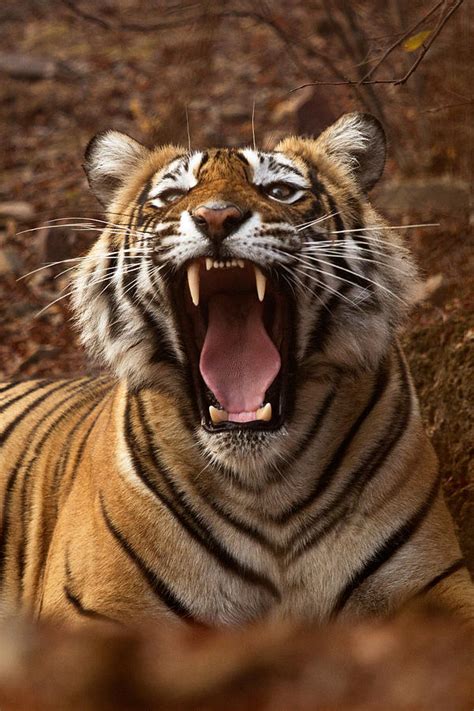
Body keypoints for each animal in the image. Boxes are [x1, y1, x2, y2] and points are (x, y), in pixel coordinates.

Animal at [0, 112, 472, 628]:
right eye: (171, 195)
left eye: (280, 191)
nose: (216, 218)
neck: (266, 488)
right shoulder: (92, 606)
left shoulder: (434, 577)